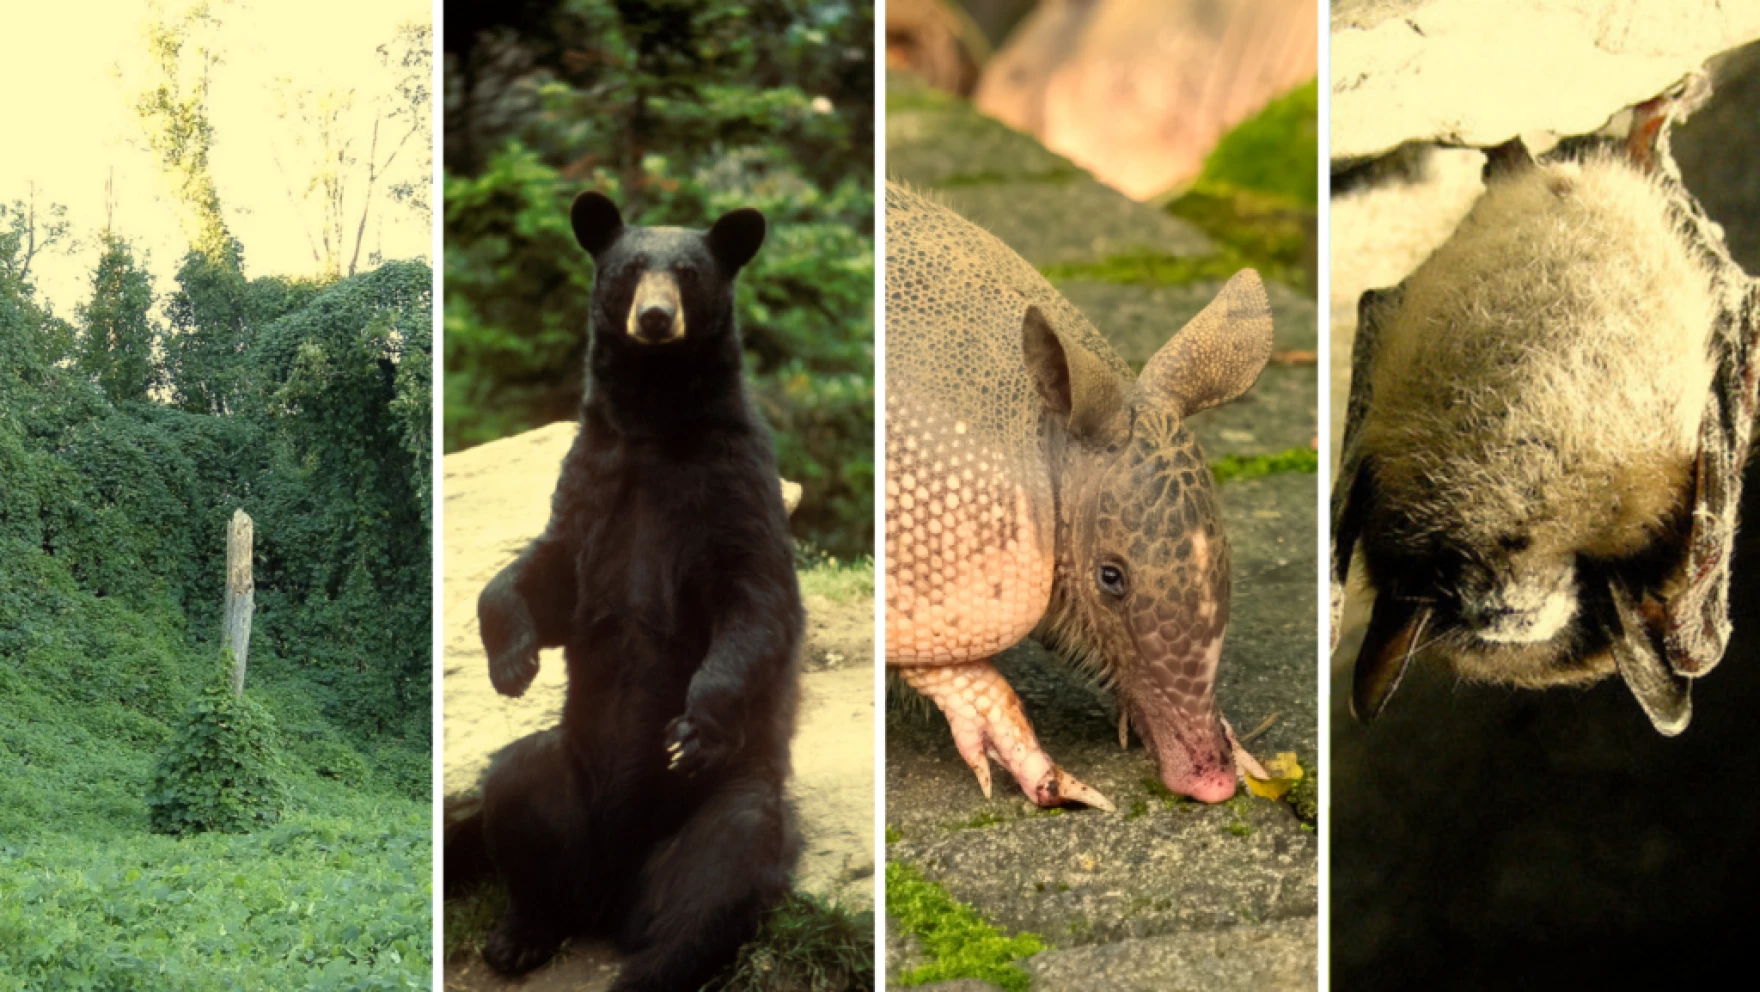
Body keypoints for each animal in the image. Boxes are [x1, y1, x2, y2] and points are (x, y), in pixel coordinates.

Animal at [445, 191, 804, 991]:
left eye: (690, 273)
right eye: (630, 268)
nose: (656, 317)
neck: (653, 421)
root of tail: (613, 897)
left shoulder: (735, 483)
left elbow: (756, 601)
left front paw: (692, 726)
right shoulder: (591, 480)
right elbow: (544, 573)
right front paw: (513, 662)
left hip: (720, 801)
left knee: (720, 871)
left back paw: (648, 966)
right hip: (566, 783)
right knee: (518, 789)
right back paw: (520, 935)